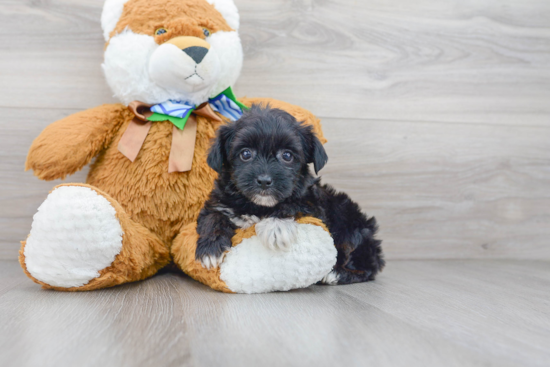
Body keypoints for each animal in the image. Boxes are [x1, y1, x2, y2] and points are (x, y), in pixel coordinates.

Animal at [197, 105, 384, 286]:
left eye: (287, 155)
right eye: (246, 154)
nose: (264, 180)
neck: (258, 205)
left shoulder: (313, 205)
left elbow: (292, 204)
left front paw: (276, 227)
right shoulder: (219, 202)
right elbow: (212, 216)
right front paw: (210, 249)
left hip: (351, 228)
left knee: (367, 266)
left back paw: (337, 274)